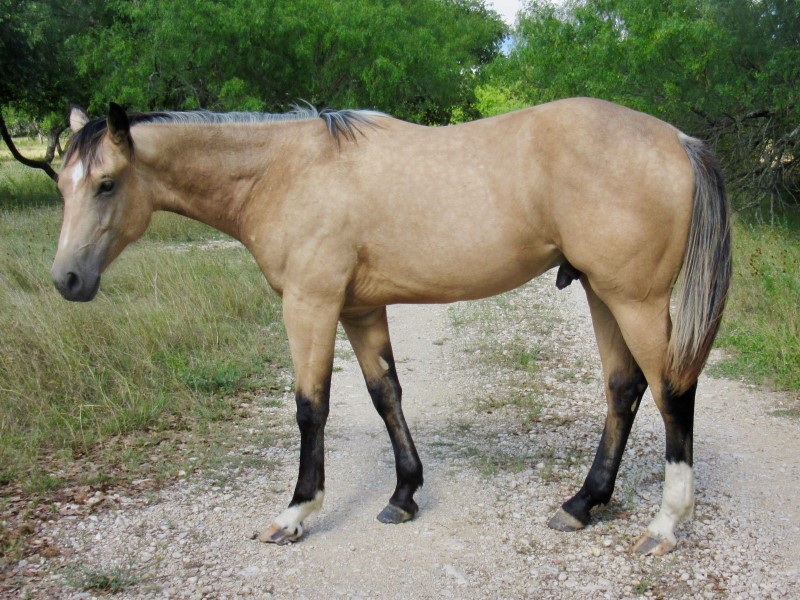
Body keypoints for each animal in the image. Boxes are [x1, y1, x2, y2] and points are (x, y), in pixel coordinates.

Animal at [51, 97, 732, 552]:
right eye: (62, 183)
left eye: (107, 184)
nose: (67, 280)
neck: (284, 171)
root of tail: (678, 139)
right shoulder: (358, 308)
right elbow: (386, 395)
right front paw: (403, 496)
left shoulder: (310, 304)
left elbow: (311, 407)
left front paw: (297, 512)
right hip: (600, 292)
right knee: (624, 390)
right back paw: (582, 503)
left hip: (635, 299)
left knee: (672, 393)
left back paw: (666, 523)